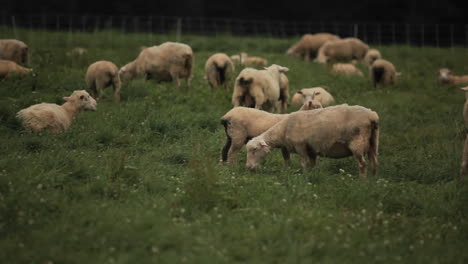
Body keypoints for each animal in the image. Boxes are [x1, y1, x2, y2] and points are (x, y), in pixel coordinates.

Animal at [245, 103, 380, 177]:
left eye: (255, 149)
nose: (248, 167)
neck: (283, 130)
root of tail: (372, 116)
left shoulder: (300, 146)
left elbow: (304, 163)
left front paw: (304, 175)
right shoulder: (312, 150)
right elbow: (313, 164)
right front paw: (313, 174)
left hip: (358, 142)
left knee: (362, 164)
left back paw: (362, 180)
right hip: (373, 142)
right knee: (374, 161)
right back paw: (372, 179)